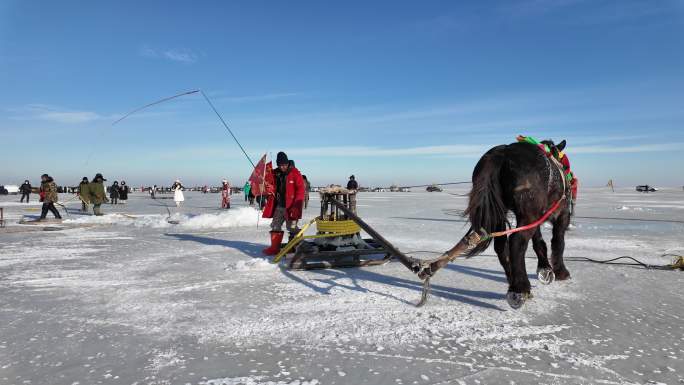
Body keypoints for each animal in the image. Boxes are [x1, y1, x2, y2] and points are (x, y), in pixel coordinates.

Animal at [464, 137, 572, 306]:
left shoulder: (537, 218)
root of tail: (503, 152)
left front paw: (545, 269)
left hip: (500, 213)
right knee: (516, 242)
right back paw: (520, 288)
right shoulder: (562, 214)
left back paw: (513, 282)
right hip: (527, 214)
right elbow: (558, 242)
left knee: (501, 246)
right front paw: (560, 271)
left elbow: (539, 242)